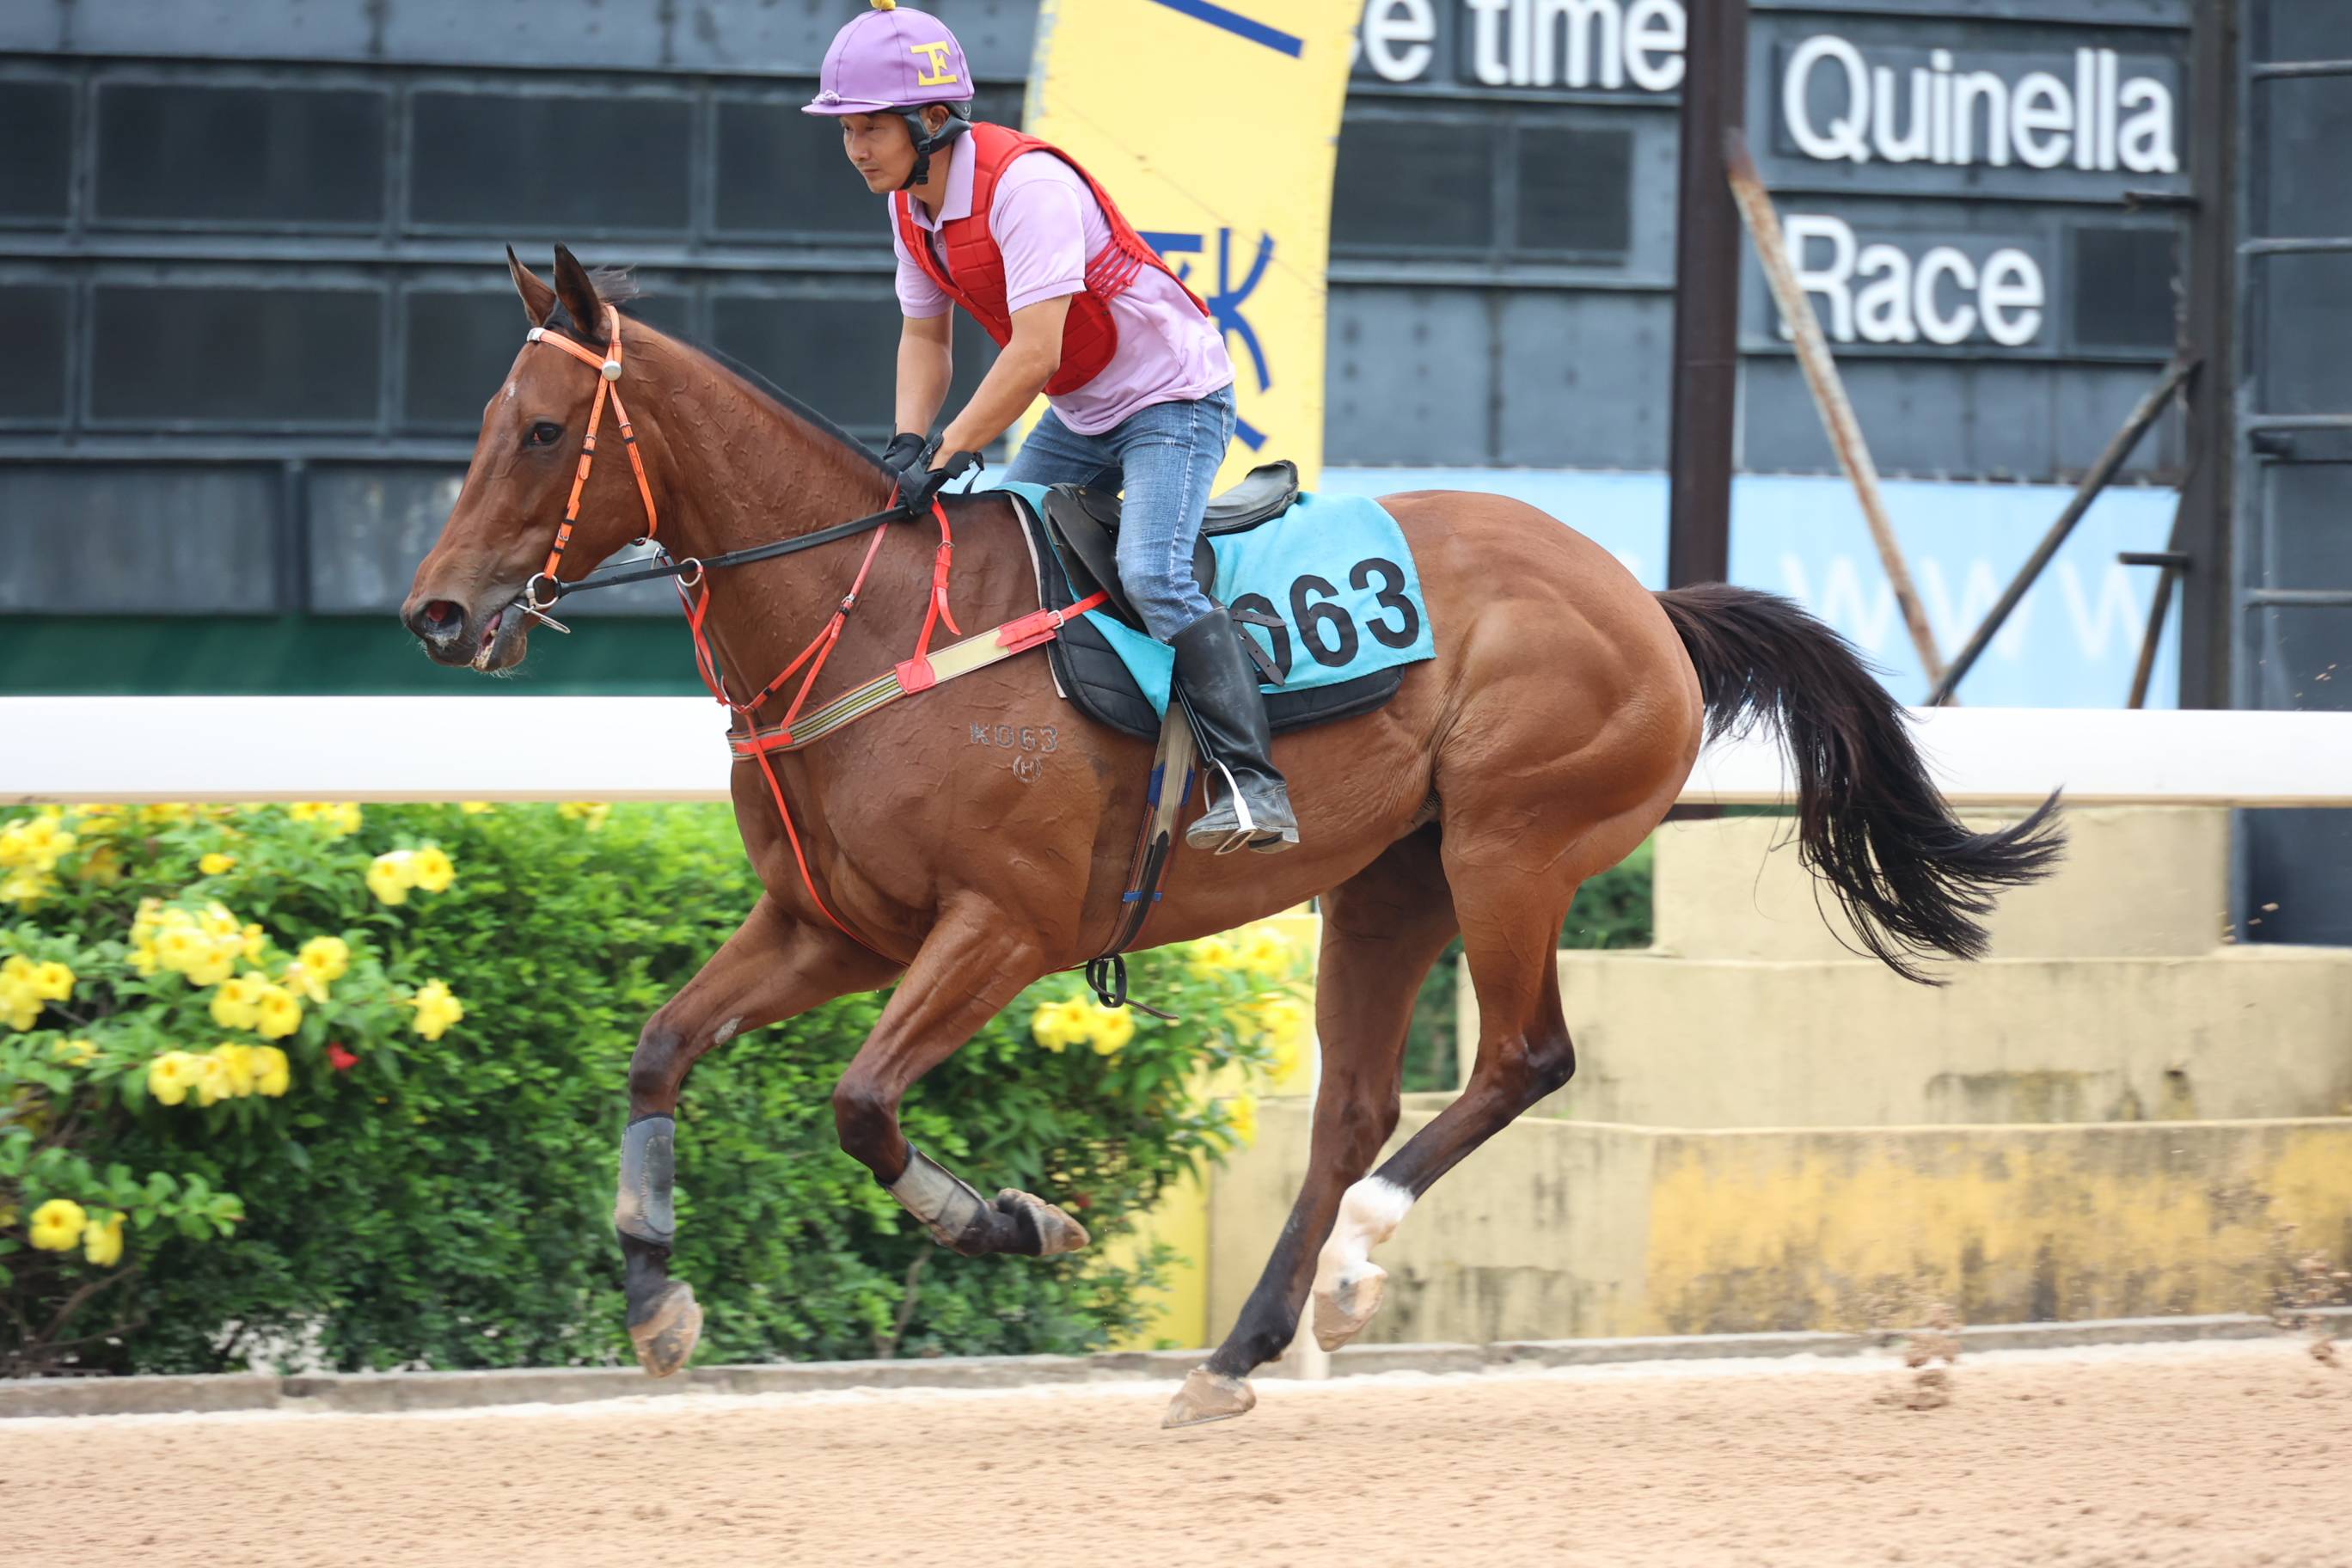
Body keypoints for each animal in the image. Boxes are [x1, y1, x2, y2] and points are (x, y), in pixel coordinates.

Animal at [400, 248, 2060, 1438]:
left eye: (542, 429)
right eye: (482, 423)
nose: (437, 613)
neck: (868, 623)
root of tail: (1644, 598)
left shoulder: (1001, 927)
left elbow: (864, 1104)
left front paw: (1020, 1217)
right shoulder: (833, 926)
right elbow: (661, 1047)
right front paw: (654, 1300)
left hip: (1512, 845)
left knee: (1521, 1059)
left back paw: (1358, 1262)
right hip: (1392, 877)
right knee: (1355, 1104)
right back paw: (1240, 1347)